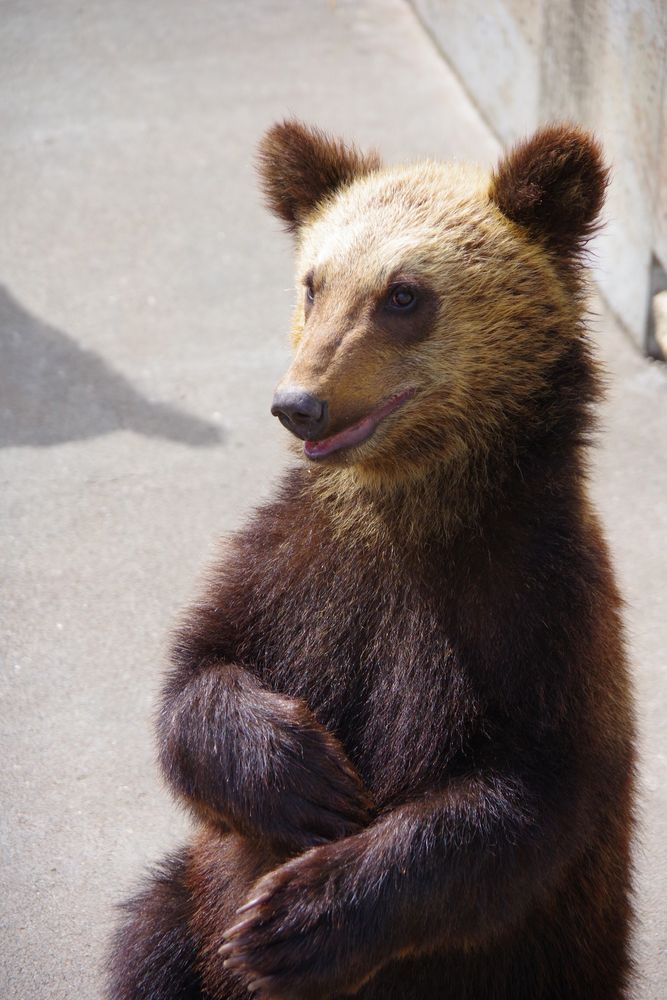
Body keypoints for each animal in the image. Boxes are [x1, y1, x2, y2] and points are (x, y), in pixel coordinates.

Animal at [107, 121, 636, 1000]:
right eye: (313, 283)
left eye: (403, 295)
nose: (299, 404)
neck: (407, 503)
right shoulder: (294, 568)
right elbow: (198, 678)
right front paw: (303, 777)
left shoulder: (532, 602)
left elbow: (520, 798)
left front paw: (293, 921)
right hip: (183, 906)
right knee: (148, 941)